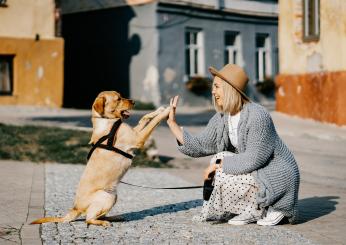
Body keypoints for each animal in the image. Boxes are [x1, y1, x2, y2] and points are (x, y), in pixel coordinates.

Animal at [31, 91, 170, 227]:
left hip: (113, 196)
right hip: (106, 196)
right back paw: (103, 222)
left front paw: (158, 110)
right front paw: (166, 112)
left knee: (98, 215)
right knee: (88, 219)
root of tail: (75, 208)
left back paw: (115, 217)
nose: (134, 102)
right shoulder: (137, 139)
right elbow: (154, 122)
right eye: (118, 99)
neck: (107, 121)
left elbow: (144, 118)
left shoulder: (134, 133)